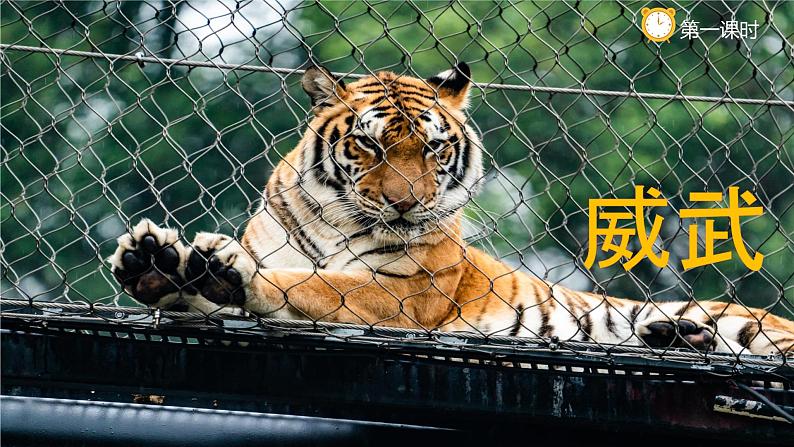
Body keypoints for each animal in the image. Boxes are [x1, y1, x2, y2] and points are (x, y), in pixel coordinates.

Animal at [109, 62, 794, 356]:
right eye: (369, 144)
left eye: (435, 149)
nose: (406, 202)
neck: (337, 217)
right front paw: (155, 262)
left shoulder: (404, 294)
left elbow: (313, 283)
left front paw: (229, 273)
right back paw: (671, 336)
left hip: (749, 325)